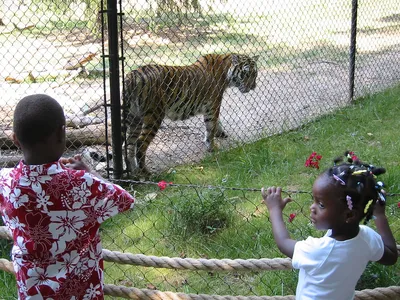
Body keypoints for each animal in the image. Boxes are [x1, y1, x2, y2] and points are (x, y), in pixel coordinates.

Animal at [122, 53, 260, 177]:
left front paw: (220, 133)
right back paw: (145, 172)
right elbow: (211, 126)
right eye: (246, 74)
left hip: (134, 118)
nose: (253, 87)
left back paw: (133, 171)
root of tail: (132, 75)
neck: (226, 71)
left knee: (129, 145)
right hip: (154, 116)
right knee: (140, 143)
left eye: (255, 74)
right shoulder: (213, 104)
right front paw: (212, 146)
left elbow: (216, 122)